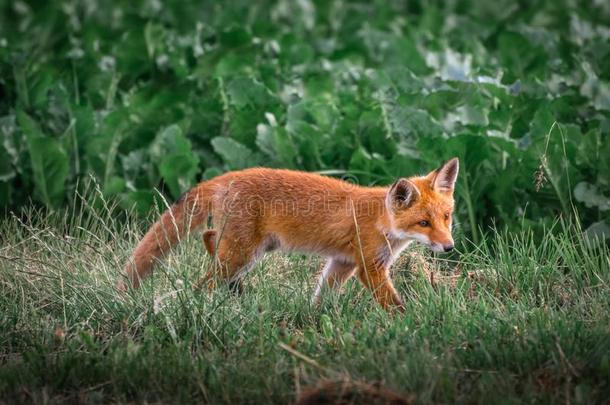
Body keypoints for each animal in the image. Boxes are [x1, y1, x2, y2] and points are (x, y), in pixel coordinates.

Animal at [120, 158, 456, 310]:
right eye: (423, 223)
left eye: (446, 217)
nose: (449, 247)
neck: (381, 221)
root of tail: (228, 176)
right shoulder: (369, 268)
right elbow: (394, 304)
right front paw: (409, 321)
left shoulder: (343, 263)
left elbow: (322, 295)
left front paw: (313, 318)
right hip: (243, 252)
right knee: (205, 274)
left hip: (253, 248)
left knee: (211, 237)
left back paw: (236, 288)